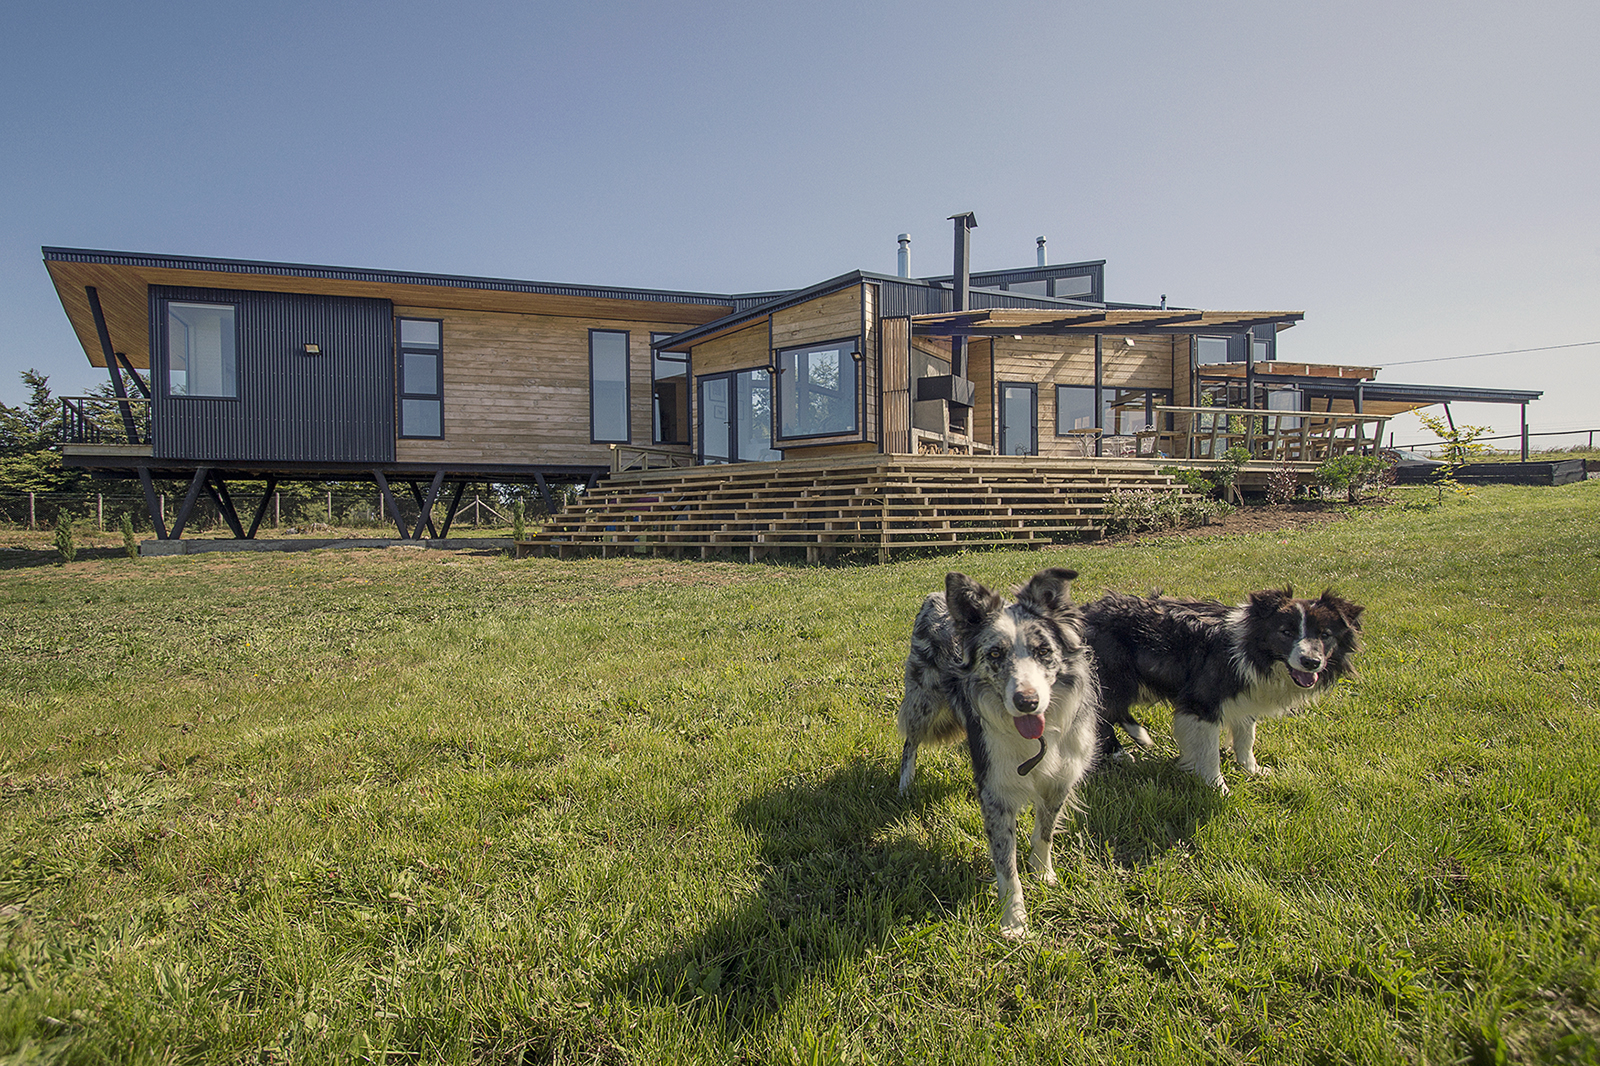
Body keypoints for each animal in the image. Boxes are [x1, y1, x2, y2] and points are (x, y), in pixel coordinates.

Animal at [902, 569, 1100, 934]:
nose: (1027, 701)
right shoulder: (996, 791)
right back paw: (905, 785)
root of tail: (935, 597)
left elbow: (1044, 833)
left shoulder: (1060, 779)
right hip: (923, 702)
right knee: (910, 743)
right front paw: (1015, 921)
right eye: (995, 654)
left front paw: (1044, 874)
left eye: (1043, 651)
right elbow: (1006, 864)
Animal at [1075, 582, 1363, 787]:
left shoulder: (1245, 697)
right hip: (1115, 679)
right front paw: (1217, 787)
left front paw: (1252, 770)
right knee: (1103, 715)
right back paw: (1118, 754)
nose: (1311, 662)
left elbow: (1246, 738)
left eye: (1325, 634)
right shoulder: (1202, 703)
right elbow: (1210, 752)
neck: (1250, 649)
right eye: (1286, 632)